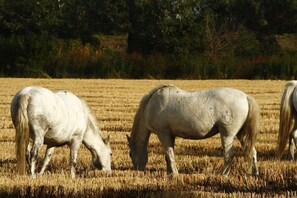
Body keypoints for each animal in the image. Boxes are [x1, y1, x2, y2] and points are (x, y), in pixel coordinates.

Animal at [126, 84, 260, 176]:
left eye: (130, 154)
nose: (137, 171)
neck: (150, 106)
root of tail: (245, 97)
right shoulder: (170, 135)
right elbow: (168, 154)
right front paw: (170, 173)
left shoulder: (163, 133)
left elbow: (169, 154)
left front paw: (174, 173)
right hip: (241, 134)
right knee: (252, 151)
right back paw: (255, 173)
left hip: (227, 134)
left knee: (229, 154)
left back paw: (223, 174)